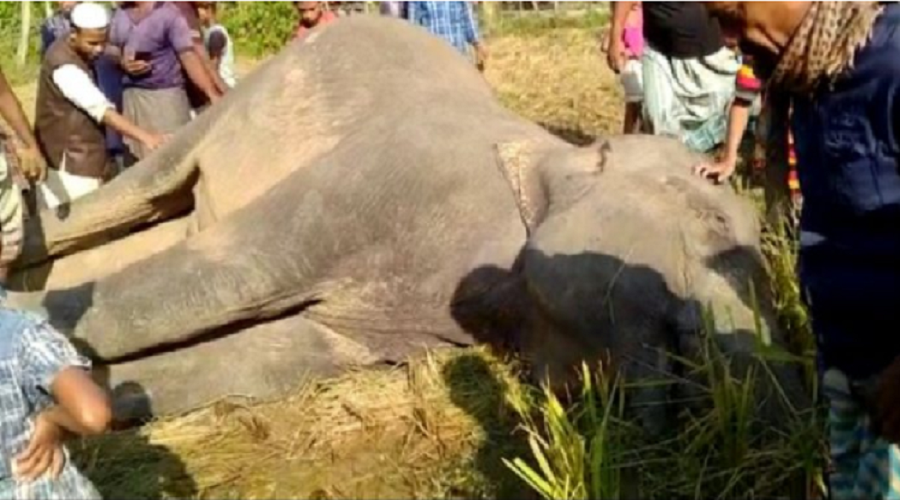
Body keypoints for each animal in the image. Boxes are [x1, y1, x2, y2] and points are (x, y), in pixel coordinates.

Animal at [7, 15, 807, 432]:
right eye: (715, 223)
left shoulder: (394, 327)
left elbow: (259, 354)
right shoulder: (393, 175)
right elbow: (197, 288)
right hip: (234, 104)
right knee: (143, 197)